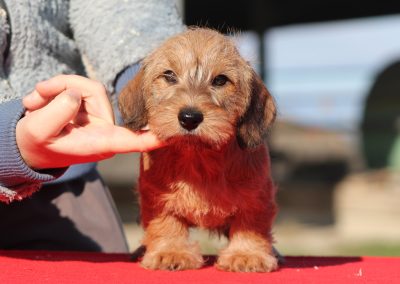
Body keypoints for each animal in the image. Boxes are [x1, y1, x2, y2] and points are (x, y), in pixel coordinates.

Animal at [119, 27, 278, 272]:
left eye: (220, 80)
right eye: (169, 75)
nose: (189, 117)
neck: (199, 157)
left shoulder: (256, 196)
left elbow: (250, 225)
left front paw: (246, 254)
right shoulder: (157, 197)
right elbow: (166, 224)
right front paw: (170, 252)